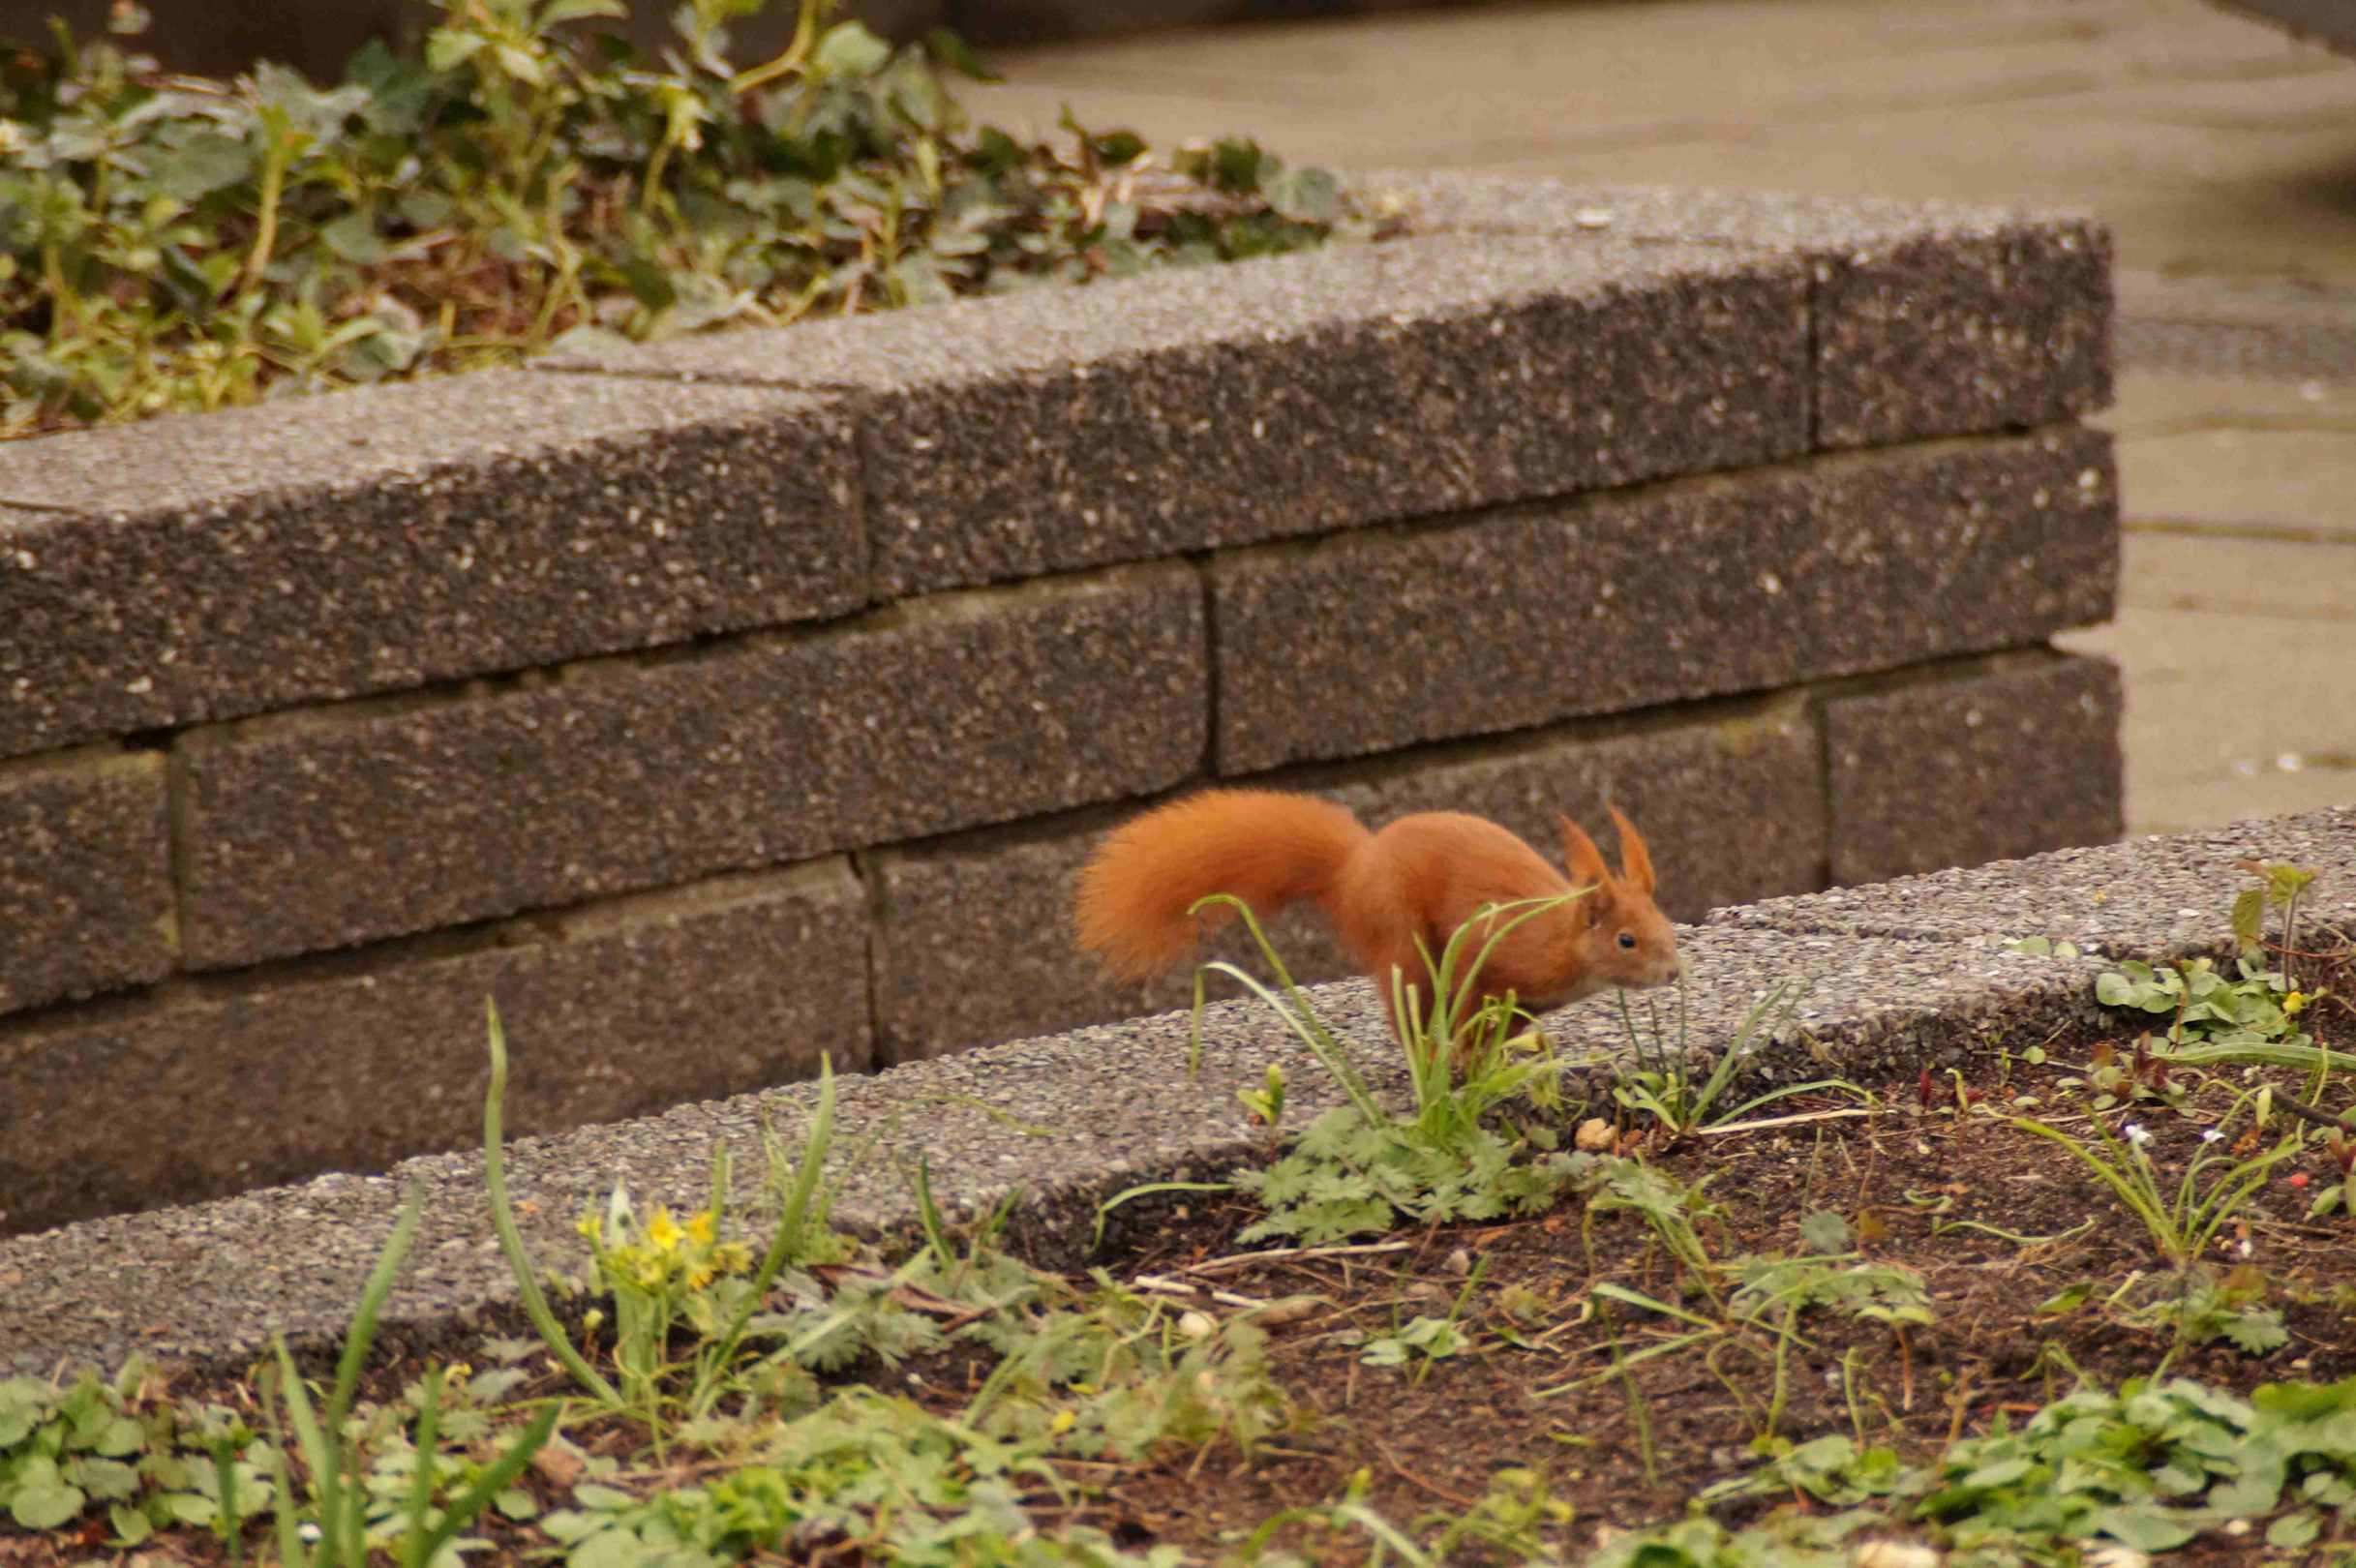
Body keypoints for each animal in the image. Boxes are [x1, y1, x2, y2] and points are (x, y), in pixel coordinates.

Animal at [1074, 787, 1683, 1036]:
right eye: (1627, 940)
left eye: (1667, 928)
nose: (1675, 972)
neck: (1558, 937)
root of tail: (1355, 867)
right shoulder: (1490, 954)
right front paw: (1466, 1059)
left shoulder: (1528, 1003)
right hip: (1398, 933)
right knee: (1406, 998)